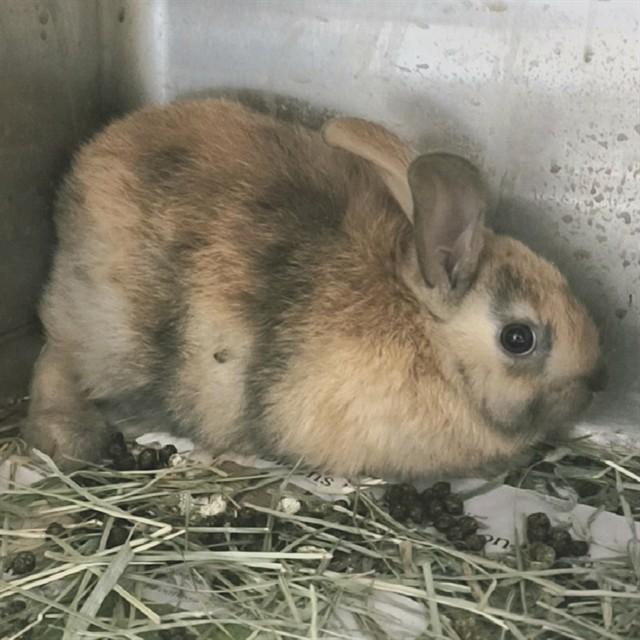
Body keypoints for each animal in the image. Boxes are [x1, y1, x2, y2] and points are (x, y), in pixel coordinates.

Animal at [22, 98, 606, 478]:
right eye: (518, 338)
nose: (597, 382)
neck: (428, 338)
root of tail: (77, 181)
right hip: (111, 336)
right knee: (56, 359)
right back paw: (68, 439)